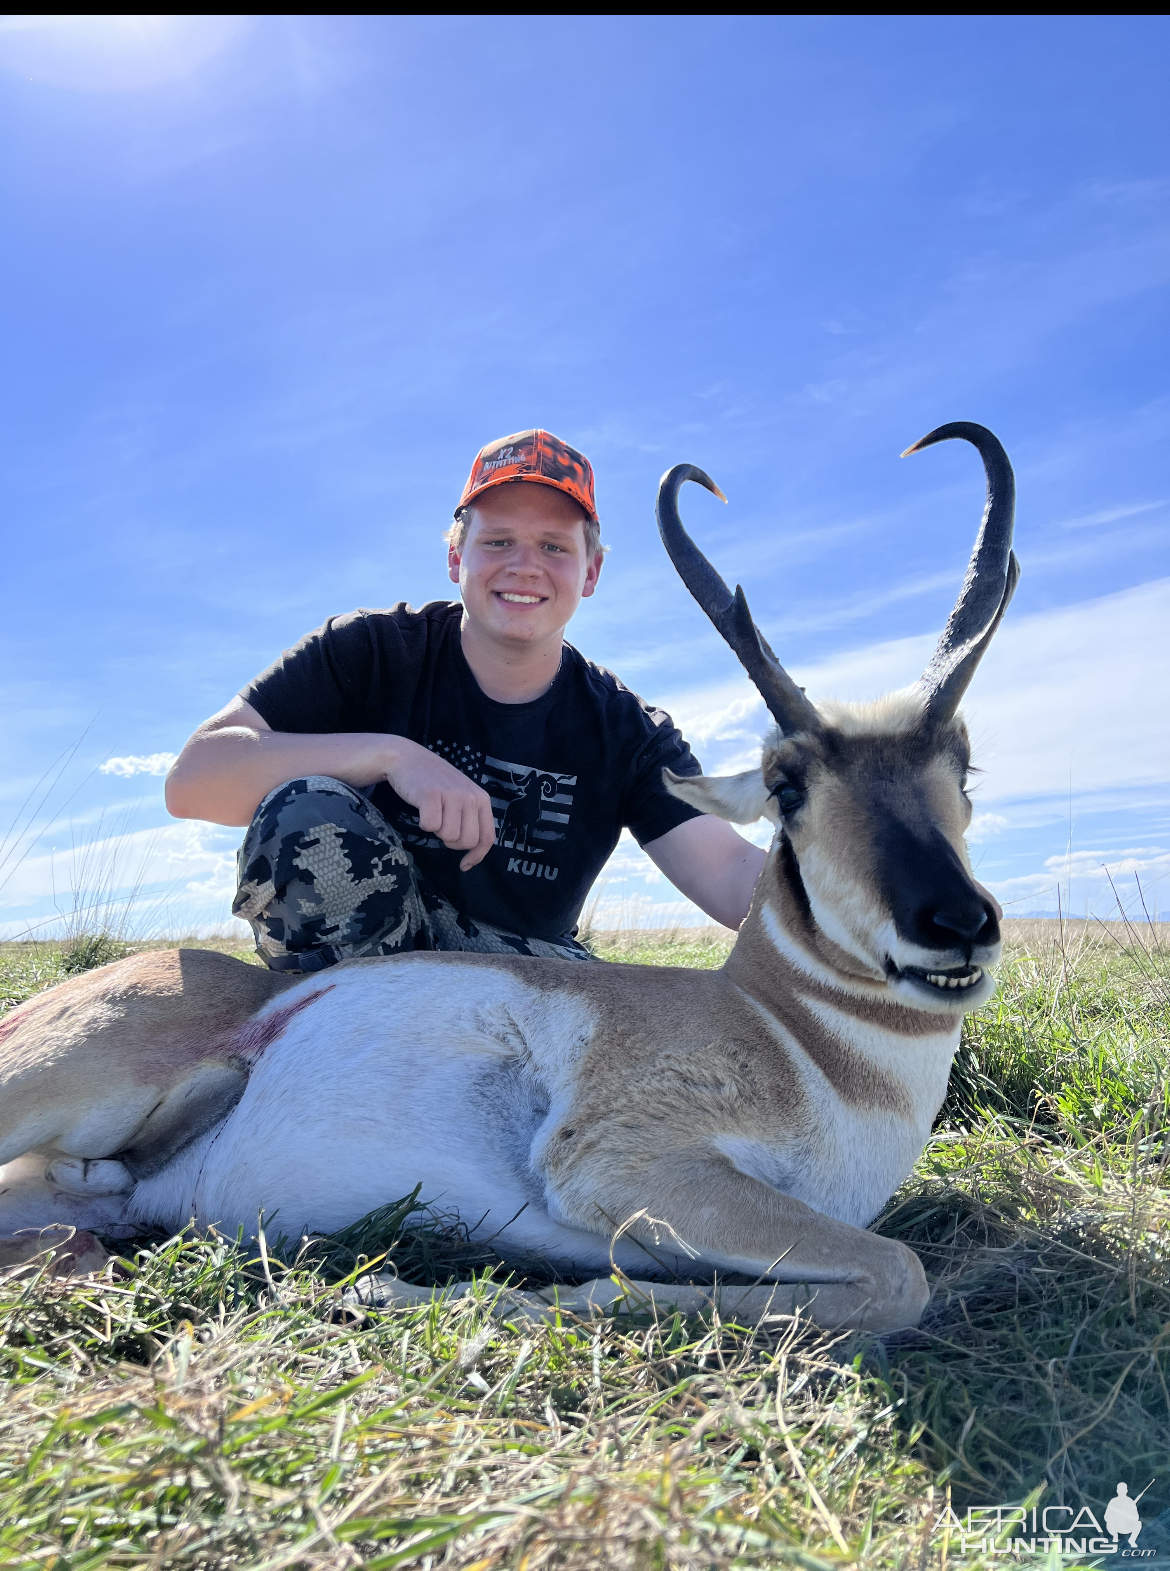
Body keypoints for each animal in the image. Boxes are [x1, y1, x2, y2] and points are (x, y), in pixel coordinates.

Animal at [0, 424, 1011, 1332]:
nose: (957, 922)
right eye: (785, 786)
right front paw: (410, 1289)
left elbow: (877, 1281)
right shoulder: (625, 1166)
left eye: (963, 768)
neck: (791, 1033)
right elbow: (901, 1273)